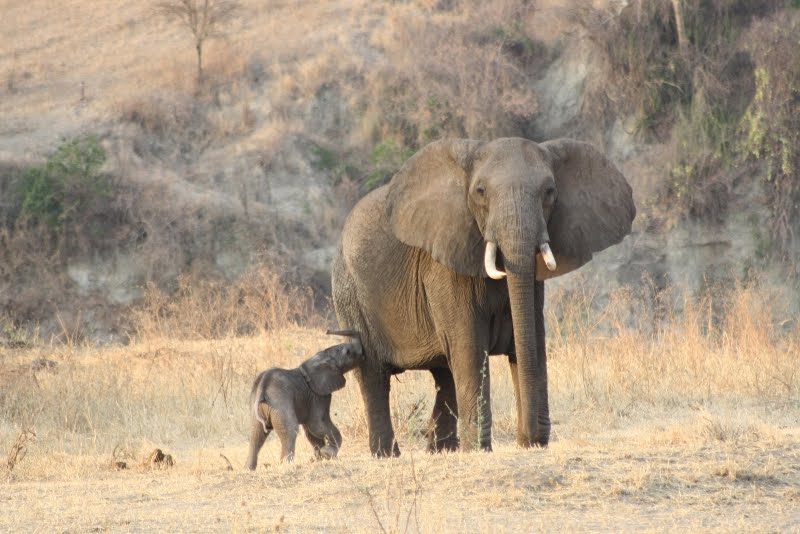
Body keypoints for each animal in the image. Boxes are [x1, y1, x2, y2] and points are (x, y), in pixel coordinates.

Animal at [245, 330, 364, 474]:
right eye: (348, 352)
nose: (328, 331)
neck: (322, 357)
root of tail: (264, 384)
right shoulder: (318, 394)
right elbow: (317, 424)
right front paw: (328, 453)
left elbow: (310, 430)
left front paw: (320, 457)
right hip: (280, 403)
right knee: (290, 430)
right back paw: (286, 465)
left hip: (257, 405)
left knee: (256, 434)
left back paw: (248, 469)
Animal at [330, 137, 632, 456]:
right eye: (481, 192)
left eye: (550, 192)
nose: (529, 440)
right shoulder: (445, 261)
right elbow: (470, 347)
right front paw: (479, 450)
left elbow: (532, 338)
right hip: (349, 293)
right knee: (373, 374)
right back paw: (388, 455)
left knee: (444, 374)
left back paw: (442, 451)